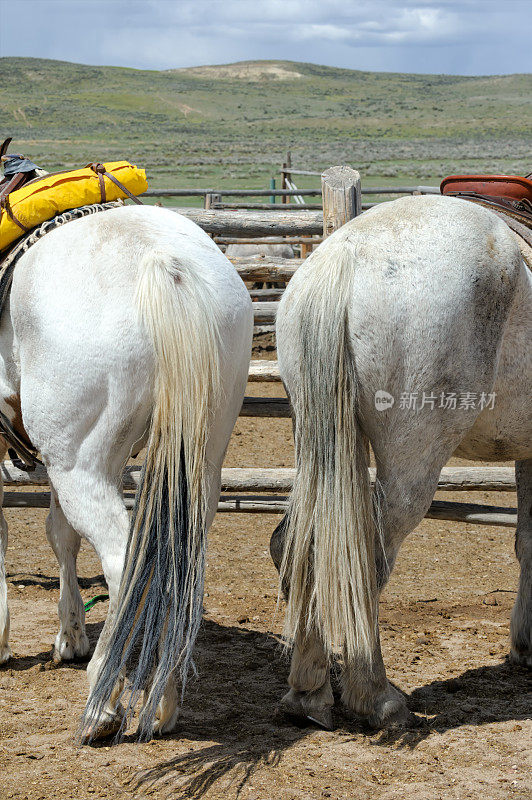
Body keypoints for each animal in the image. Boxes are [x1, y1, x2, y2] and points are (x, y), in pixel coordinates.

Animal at [0, 203, 254, 740]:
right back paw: (163, 702)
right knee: (178, 564)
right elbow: (60, 535)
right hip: (198, 466)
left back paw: (102, 703)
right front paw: (69, 635)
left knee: (124, 561)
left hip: (80, 466)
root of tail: (161, 262)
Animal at [272, 195, 528, 732]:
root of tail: (344, 257)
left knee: (297, 546)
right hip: (411, 465)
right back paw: (376, 698)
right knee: (366, 561)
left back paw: (308, 695)